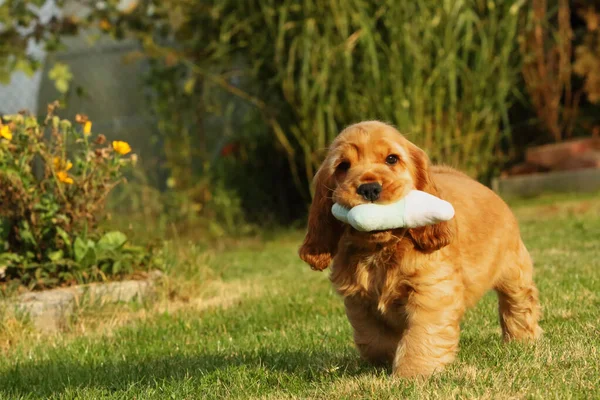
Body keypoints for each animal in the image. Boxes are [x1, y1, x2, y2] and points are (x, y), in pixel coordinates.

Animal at [298, 120, 540, 376]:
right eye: (343, 166)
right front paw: (385, 359)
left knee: (518, 302)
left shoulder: (432, 288)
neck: (382, 249)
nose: (369, 188)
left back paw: (521, 340)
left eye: (392, 159)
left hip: (514, 268)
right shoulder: (358, 299)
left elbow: (422, 334)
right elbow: (373, 336)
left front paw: (412, 373)